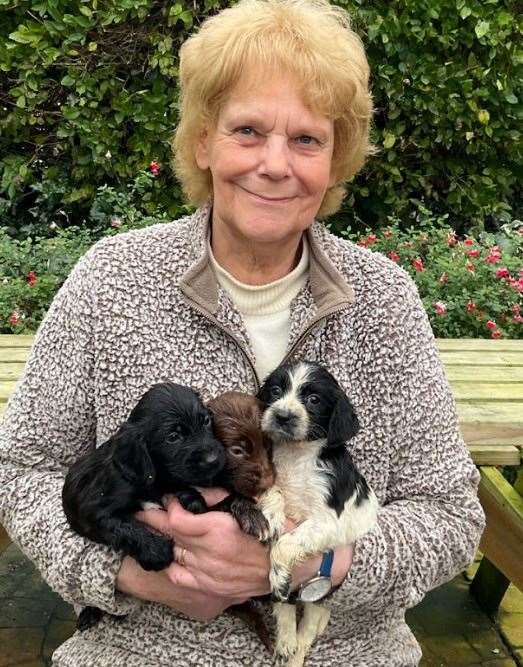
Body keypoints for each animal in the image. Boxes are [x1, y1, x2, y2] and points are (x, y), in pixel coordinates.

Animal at [61, 380, 225, 632]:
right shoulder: (95, 510)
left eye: (206, 420)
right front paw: (155, 551)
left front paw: (192, 498)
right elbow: (125, 527)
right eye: (173, 437)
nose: (213, 460)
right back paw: (90, 613)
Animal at [256, 366, 376, 667]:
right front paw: (270, 514)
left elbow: (285, 544)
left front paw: (277, 569)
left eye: (313, 399)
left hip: (319, 600)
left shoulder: (327, 523)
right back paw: (285, 641)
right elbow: (274, 493)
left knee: (307, 630)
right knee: (285, 605)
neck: (297, 455)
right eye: (276, 391)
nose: (282, 416)